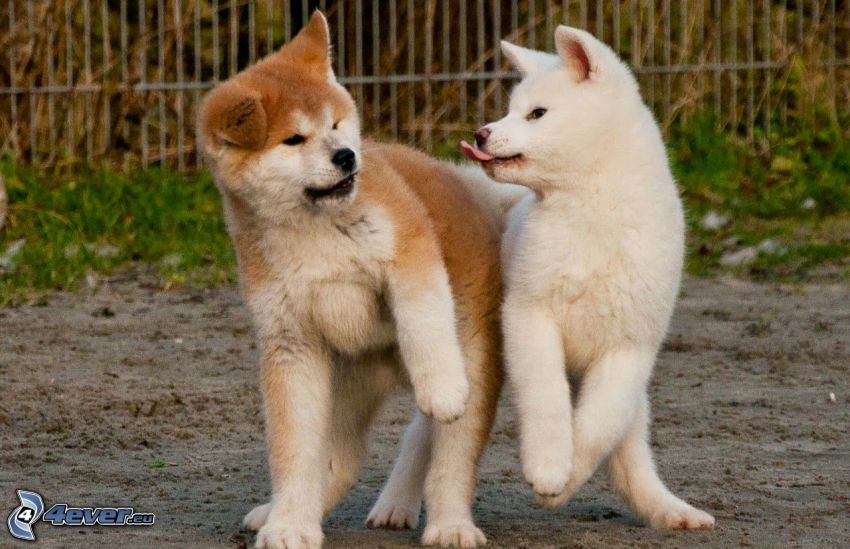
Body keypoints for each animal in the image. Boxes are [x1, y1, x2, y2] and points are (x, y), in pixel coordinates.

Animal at [197, 11, 504, 548]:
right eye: (293, 139)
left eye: (336, 125)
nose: (345, 156)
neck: (316, 230)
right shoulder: (291, 343)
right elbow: (294, 452)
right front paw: (289, 525)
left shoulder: (411, 253)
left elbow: (424, 323)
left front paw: (441, 388)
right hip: (346, 385)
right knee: (345, 456)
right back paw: (290, 510)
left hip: (473, 359)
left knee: (452, 458)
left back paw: (451, 524)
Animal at [460, 27, 712, 528]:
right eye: (512, 108)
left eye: (537, 113)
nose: (481, 133)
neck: (590, 211)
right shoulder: (530, 317)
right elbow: (548, 399)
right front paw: (547, 467)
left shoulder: (631, 347)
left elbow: (596, 427)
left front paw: (561, 484)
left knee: (628, 450)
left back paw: (670, 511)